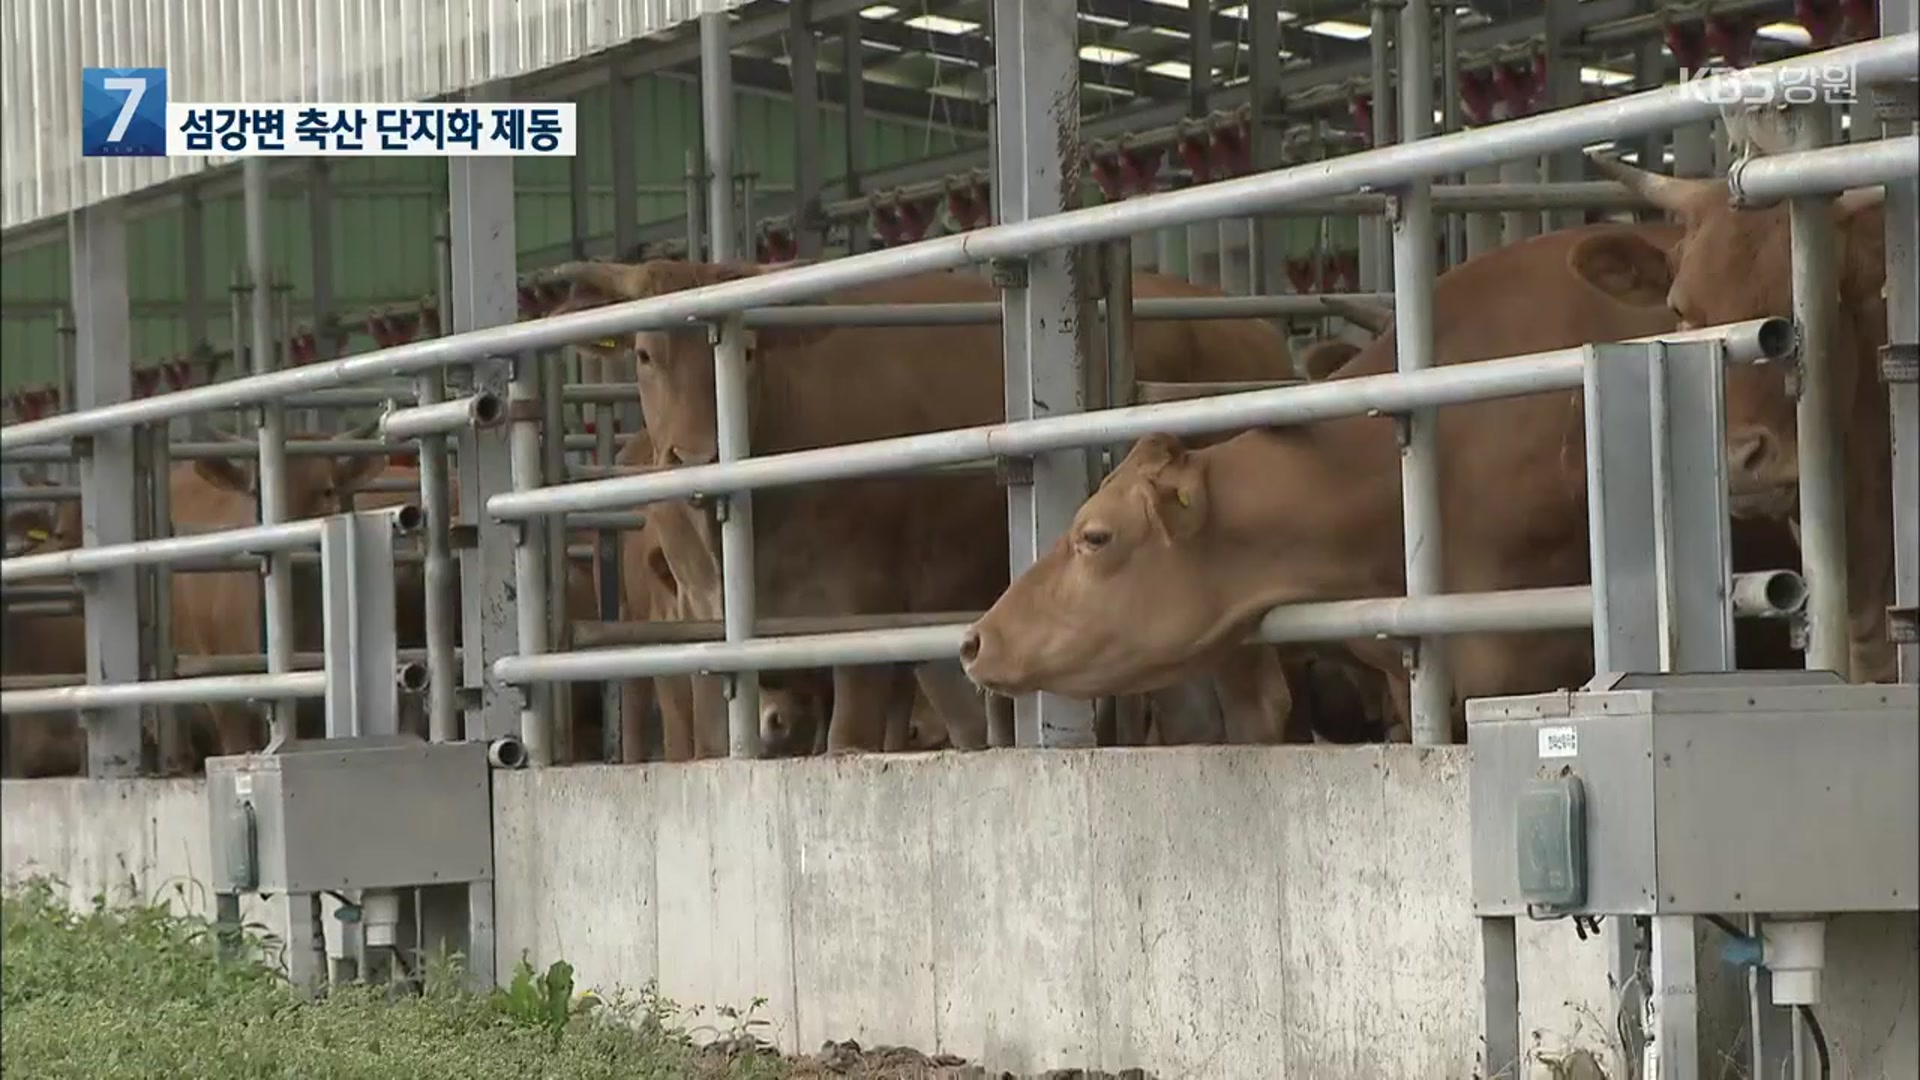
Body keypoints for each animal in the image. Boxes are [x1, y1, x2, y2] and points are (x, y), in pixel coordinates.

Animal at [549, 259, 1313, 749]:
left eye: (747, 354)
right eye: (645, 354)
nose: (698, 456)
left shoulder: (860, 613)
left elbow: (851, 743)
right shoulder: (704, 627)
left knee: (1258, 705)